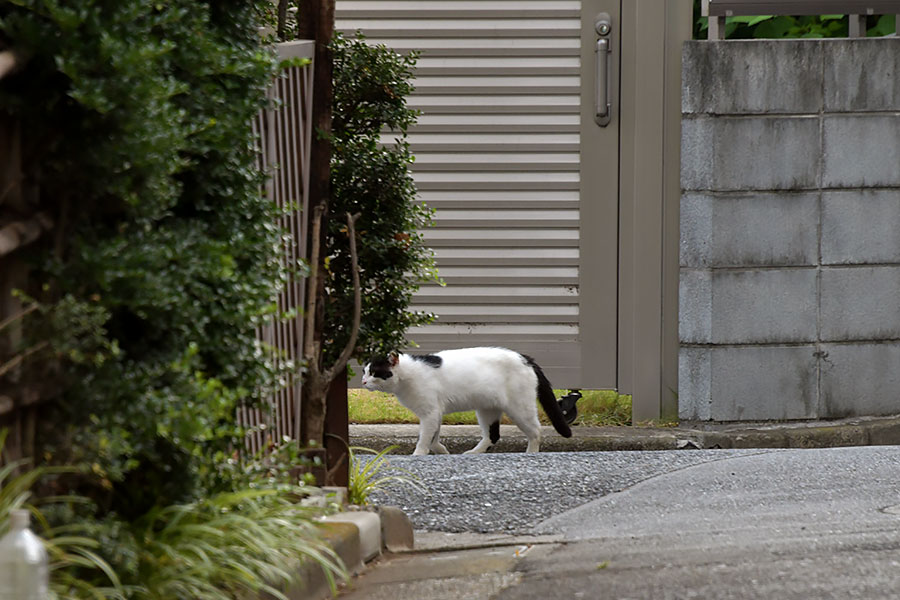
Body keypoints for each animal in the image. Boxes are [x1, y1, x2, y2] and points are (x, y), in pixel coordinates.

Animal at [358, 346, 568, 454]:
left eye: (375, 373)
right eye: (365, 371)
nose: (363, 381)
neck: (409, 376)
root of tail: (526, 357)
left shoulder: (430, 413)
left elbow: (424, 439)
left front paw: (418, 454)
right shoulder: (435, 413)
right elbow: (433, 438)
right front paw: (443, 452)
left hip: (520, 408)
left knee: (536, 431)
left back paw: (531, 453)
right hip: (486, 409)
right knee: (492, 436)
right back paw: (473, 453)